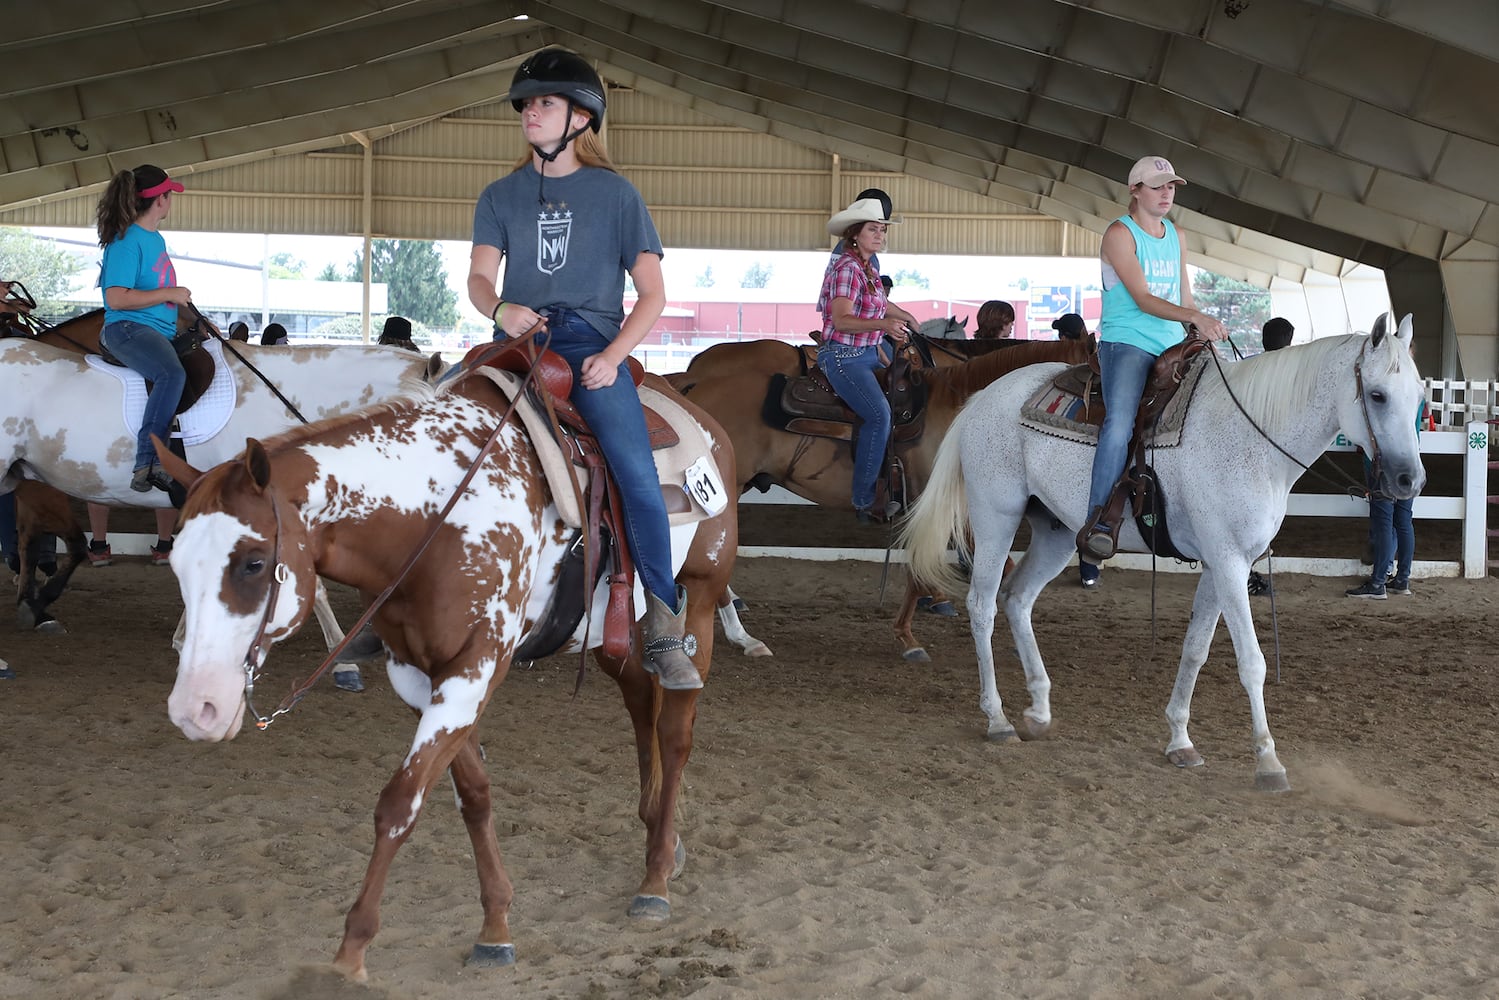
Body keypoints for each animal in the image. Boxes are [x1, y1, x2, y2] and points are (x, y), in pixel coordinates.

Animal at [156, 358, 737, 977]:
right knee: (641, 705)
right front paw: (496, 926)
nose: (196, 708)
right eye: (176, 561)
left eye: (253, 562)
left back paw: (656, 878)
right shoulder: (419, 674)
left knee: (675, 731)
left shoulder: (475, 666)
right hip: (611, 634)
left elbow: (400, 802)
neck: (439, 513)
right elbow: (472, 795)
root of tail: (700, 417)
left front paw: (351, 953)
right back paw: (660, 837)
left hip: (700, 603)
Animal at [899, 316, 1427, 791]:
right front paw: (1268, 762)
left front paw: (1180, 741)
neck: (1254, 438)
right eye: (1377, 395)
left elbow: (1195, 650)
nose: (1410, 481)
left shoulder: (1220, 565)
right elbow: (1251, 661)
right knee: (982, 605)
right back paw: (998, 719)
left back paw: (1039, 711)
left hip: (1055, 532)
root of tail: (982, 398)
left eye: (1419, 396)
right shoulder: (1230, 562)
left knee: (1017, 599)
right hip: (996, 517)